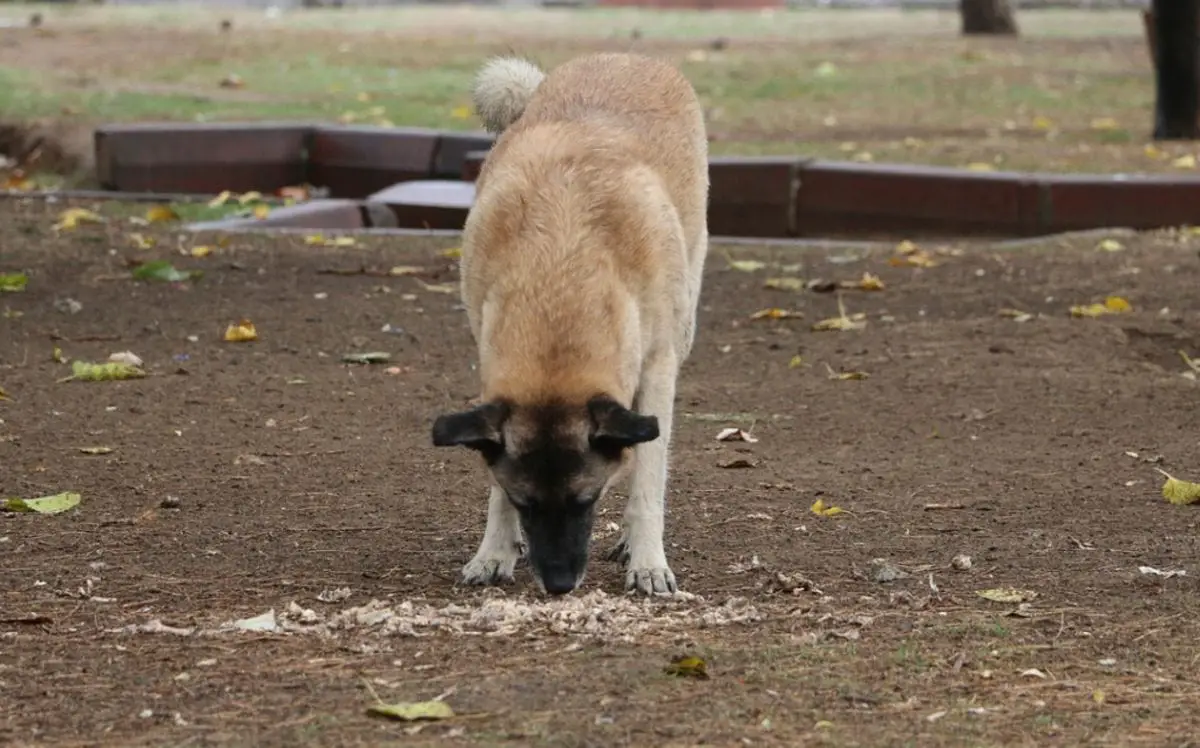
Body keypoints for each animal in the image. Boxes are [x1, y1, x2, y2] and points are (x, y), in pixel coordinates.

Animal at [432, 52, 705, 597]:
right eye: (525, 502)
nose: (559, 584)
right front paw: (495, 551)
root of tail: (623, 56)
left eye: (587, 500)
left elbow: (648, 479)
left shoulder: (657, 369)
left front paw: (648, 560)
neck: (558, 278)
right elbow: (494, 479)